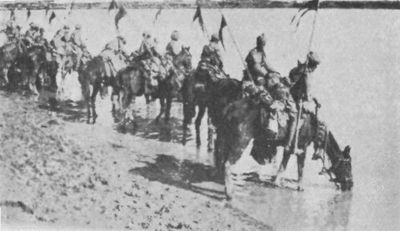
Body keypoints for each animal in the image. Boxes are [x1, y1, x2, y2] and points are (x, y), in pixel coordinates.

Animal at [216, 97, 354, 199]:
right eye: (348, 164)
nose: (351, 184)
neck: (315, 128)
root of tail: (228, 109)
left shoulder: (289, 147)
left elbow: (283, 165)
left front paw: (276, 182)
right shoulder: (302, 147)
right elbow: (300, 169)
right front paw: (300, 187)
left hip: (224, 138)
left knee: (221, 161)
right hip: (240, 142)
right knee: (227, 164)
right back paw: (229, 193)